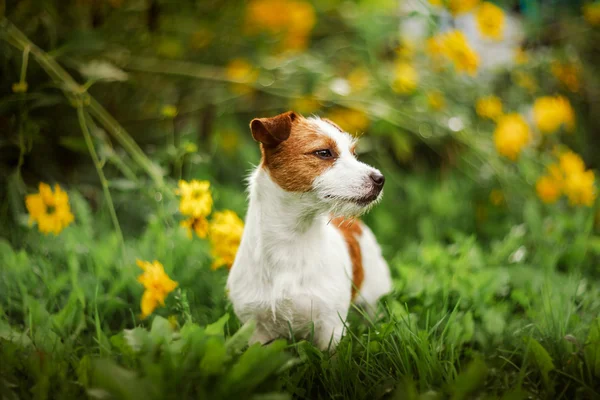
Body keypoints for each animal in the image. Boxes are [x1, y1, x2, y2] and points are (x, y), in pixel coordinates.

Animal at [227, 111, 392, 348]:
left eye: (353, 154)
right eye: (323, 152)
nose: (380, 179)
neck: (290, 240)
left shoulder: (331, 328)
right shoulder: (256, 330)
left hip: (375, 298)